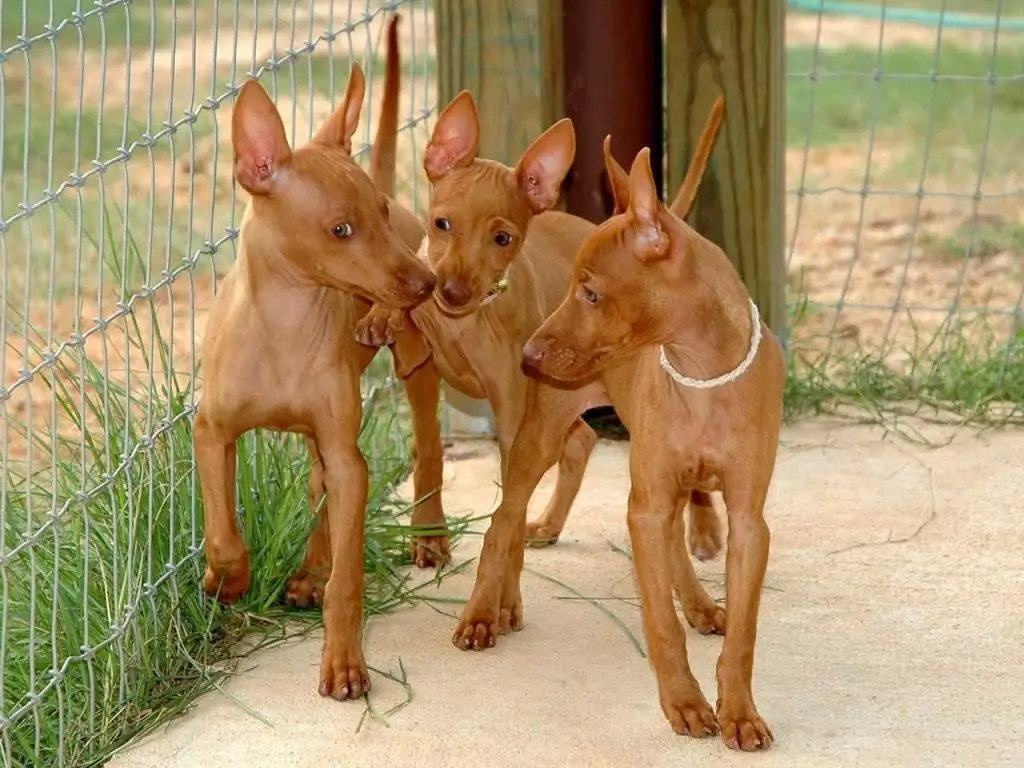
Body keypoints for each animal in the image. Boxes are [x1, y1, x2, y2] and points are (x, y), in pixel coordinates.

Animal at [193, 16, 446, 704]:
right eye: (340, 229)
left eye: (378, 214)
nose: (426, 286)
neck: (284, 322)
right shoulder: (211, 433)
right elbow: (224, 536)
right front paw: (227, 582)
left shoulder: (348, 455)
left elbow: (349, 581)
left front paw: (344, 663)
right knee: (317, 486)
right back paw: (306, 570)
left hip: (413, 372)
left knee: (425, 451)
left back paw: (426, 535)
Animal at [356, 93, 733, 651]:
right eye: (441, 224)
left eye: (502, 238)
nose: (453, 291)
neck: (468, 321)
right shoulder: (423, 369)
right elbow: (430, 453)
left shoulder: (514, 414)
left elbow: (505, 517)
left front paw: (500, 605)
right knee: (582, 443)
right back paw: (551, 524)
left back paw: (703, 530)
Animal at [524, 138, 786, 753]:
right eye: (575, 287)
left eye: (591, 293)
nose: (529, 355)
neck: (703, 375)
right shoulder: (643, 505)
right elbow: (661, 624)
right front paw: (684, 703)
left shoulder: (749, 522)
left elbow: (743, 632)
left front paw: (739, 711)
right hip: (541, 437)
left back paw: (698, 602)